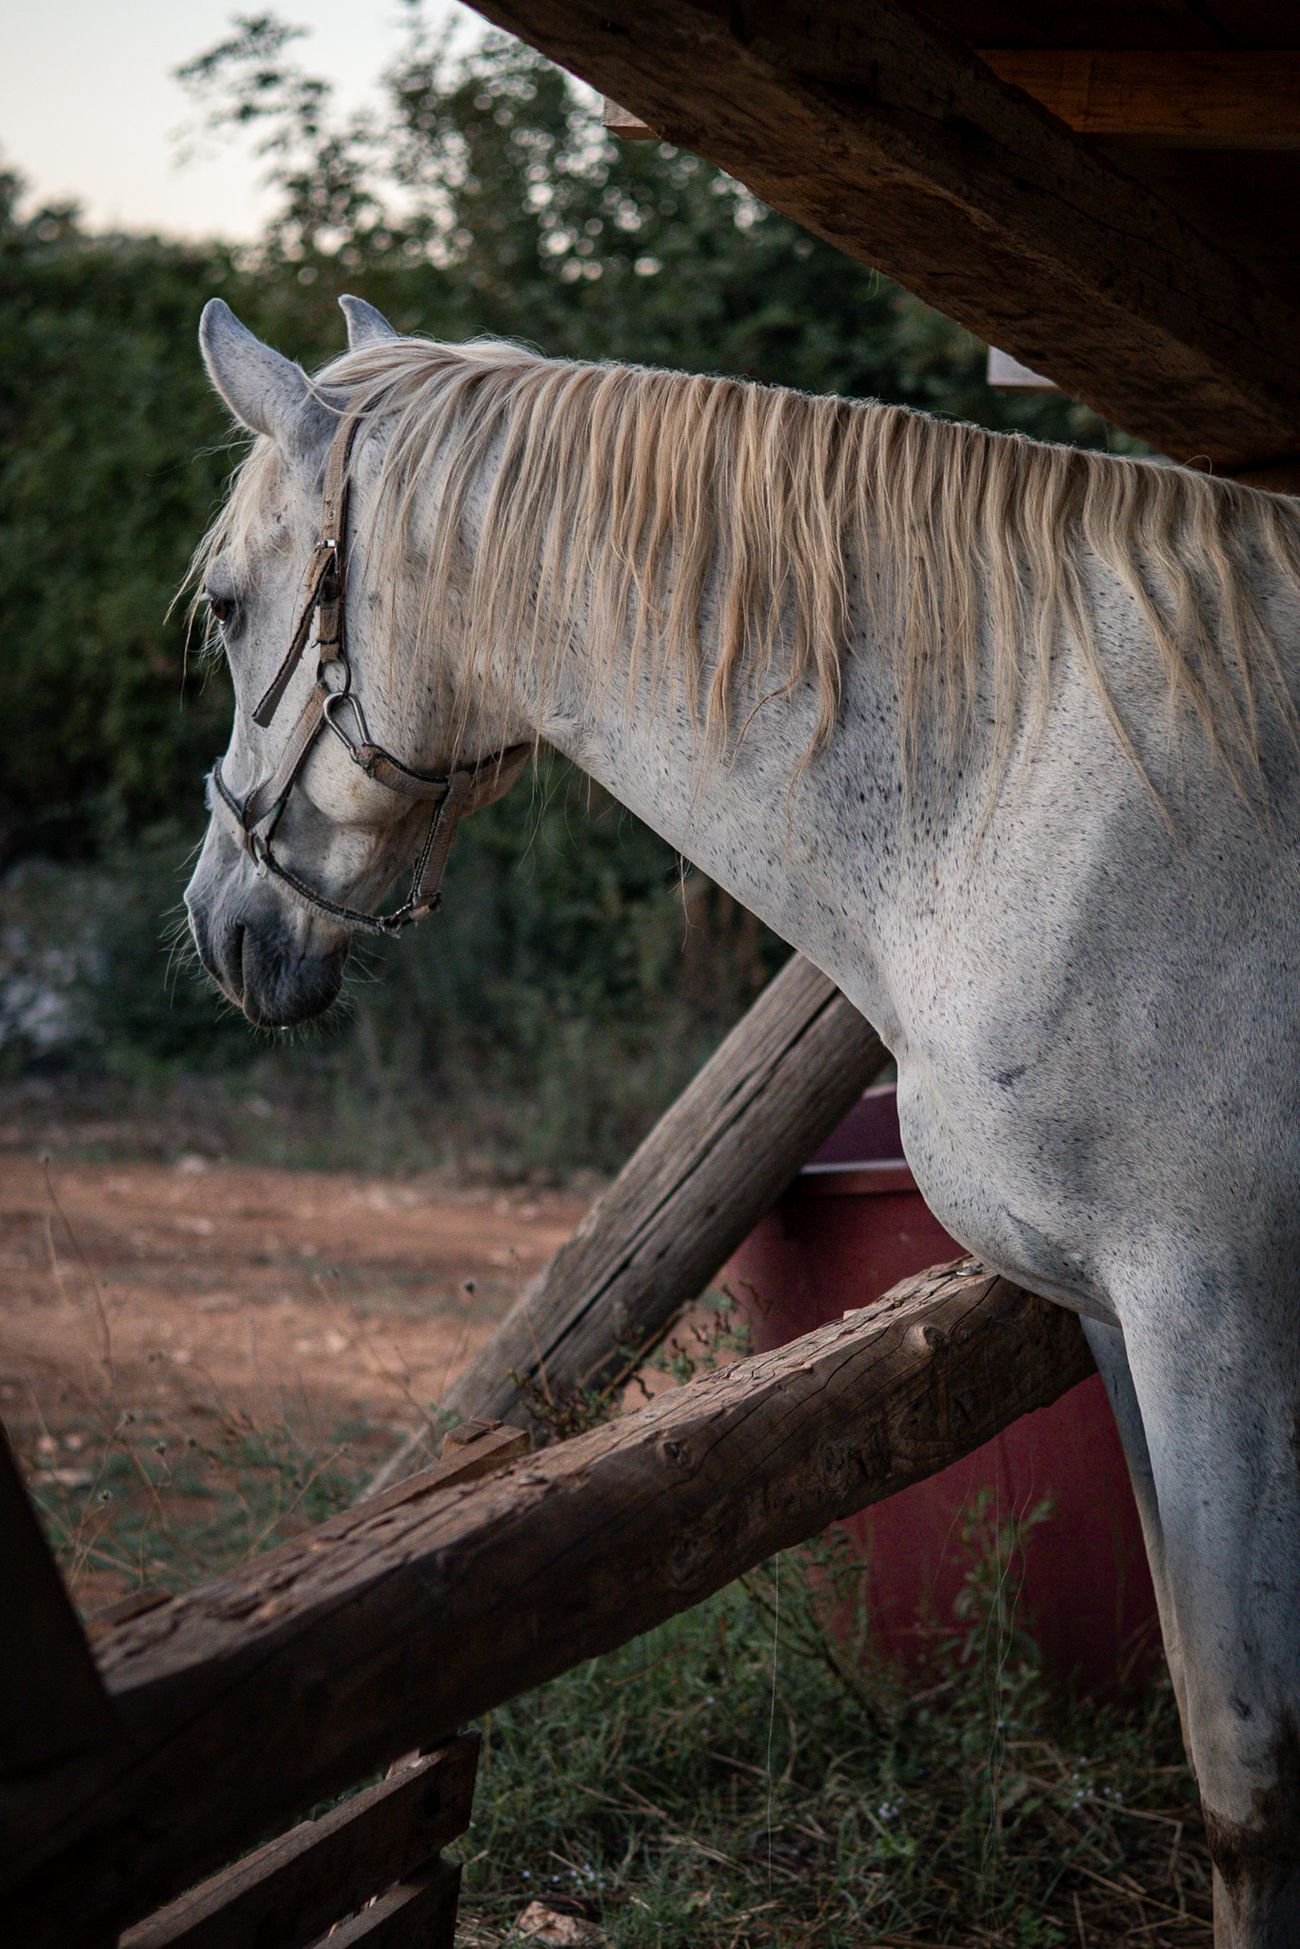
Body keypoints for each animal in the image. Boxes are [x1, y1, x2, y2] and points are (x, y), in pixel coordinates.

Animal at [184, 293, 1300, 1946]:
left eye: (229, 602)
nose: (222, 926)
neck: (1045, 786)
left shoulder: (1214, 1320)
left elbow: (1247, 1775)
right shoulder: (1117, 1319)